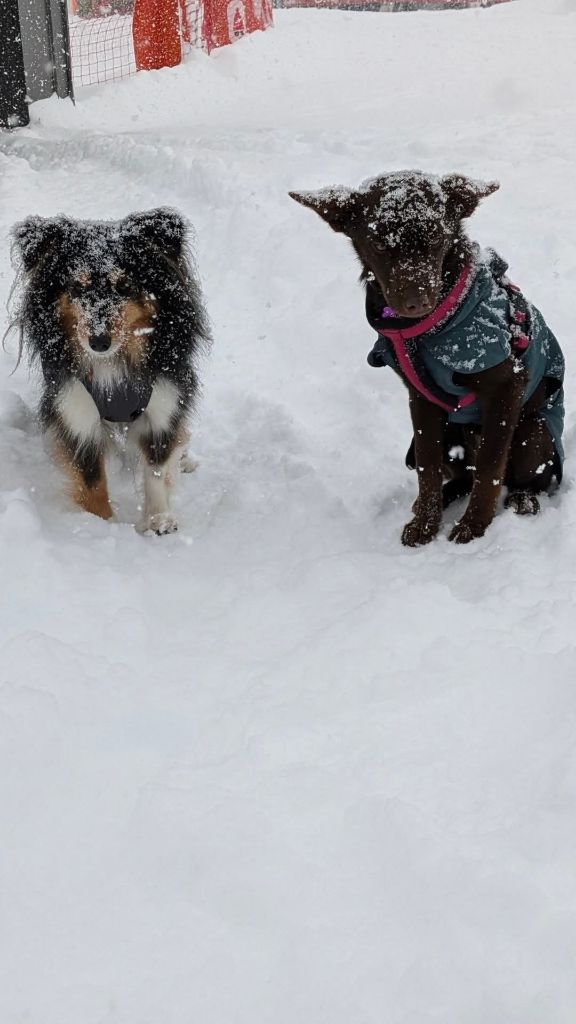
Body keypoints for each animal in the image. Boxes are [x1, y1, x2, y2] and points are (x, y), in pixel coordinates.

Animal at [10, 204, 208, 532]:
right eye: (77, 286)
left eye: (124, 286)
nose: (98, 342)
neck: (114, 362)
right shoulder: (75, 408)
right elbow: (91, 479)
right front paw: (101, 526)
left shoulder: (164, 398)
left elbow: (156, 466)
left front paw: (158, 520)